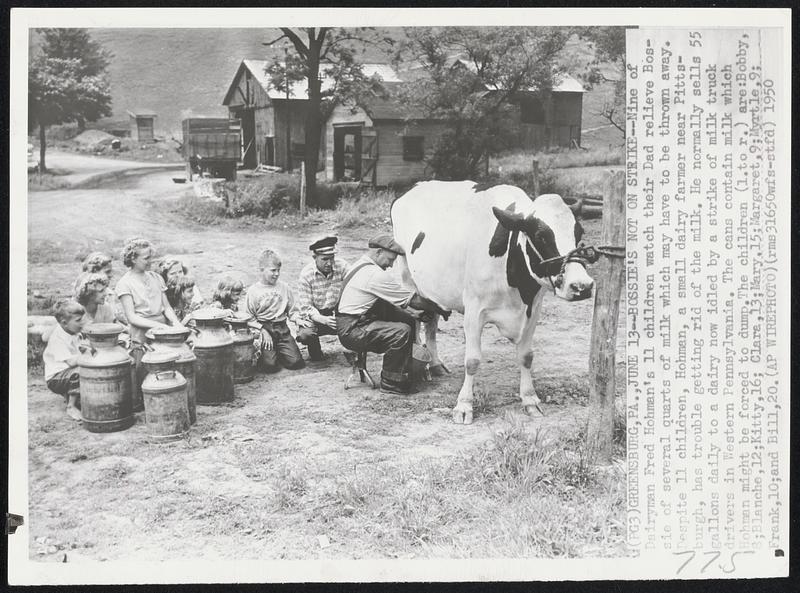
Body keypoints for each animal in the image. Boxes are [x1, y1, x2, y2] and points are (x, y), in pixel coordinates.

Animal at [390, 178, 592, 424]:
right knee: (416, 319)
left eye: (579, 233)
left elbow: (527, 356)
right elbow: (472, 360)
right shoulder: (474, 310)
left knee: (432, 322)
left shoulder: (533, 309)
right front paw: (464, 406)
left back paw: (435, 363)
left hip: (433, 287)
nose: (582, 286)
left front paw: (530, 399)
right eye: (541, 235)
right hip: (407, 279)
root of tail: (415, 186)